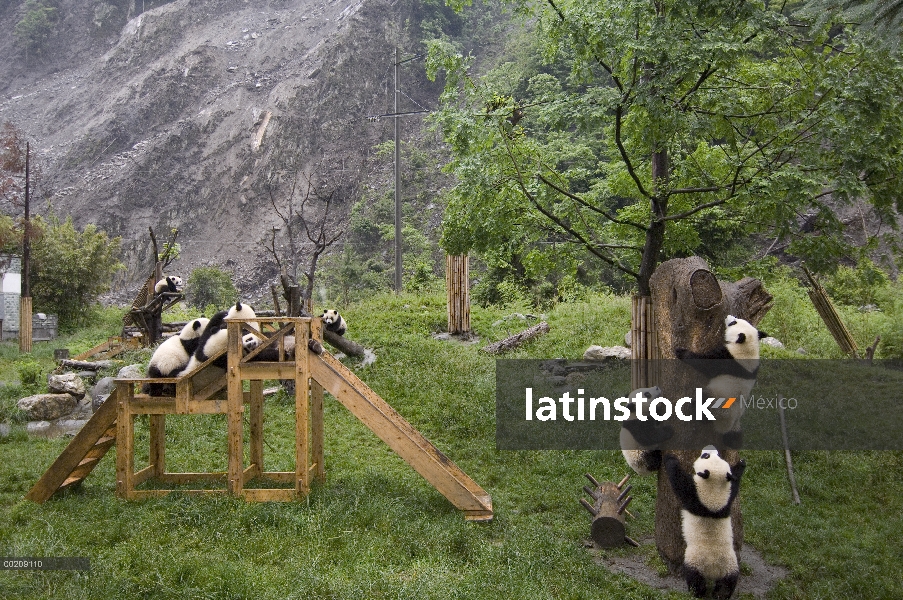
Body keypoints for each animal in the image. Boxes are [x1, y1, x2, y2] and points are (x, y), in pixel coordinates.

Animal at [668, 448, 744, 596]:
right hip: (730, 565)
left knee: (695, 578)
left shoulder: (696, 494)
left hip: (696, 560)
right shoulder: (726, 500)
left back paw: (697, 593)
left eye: (705, 456)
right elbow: (734, 484)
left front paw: (670, 459)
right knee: (728, 583)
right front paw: (742, 464)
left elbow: (679, 481)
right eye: (710, 454)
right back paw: (720, 595)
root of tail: (713, 571)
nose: (709, 448)